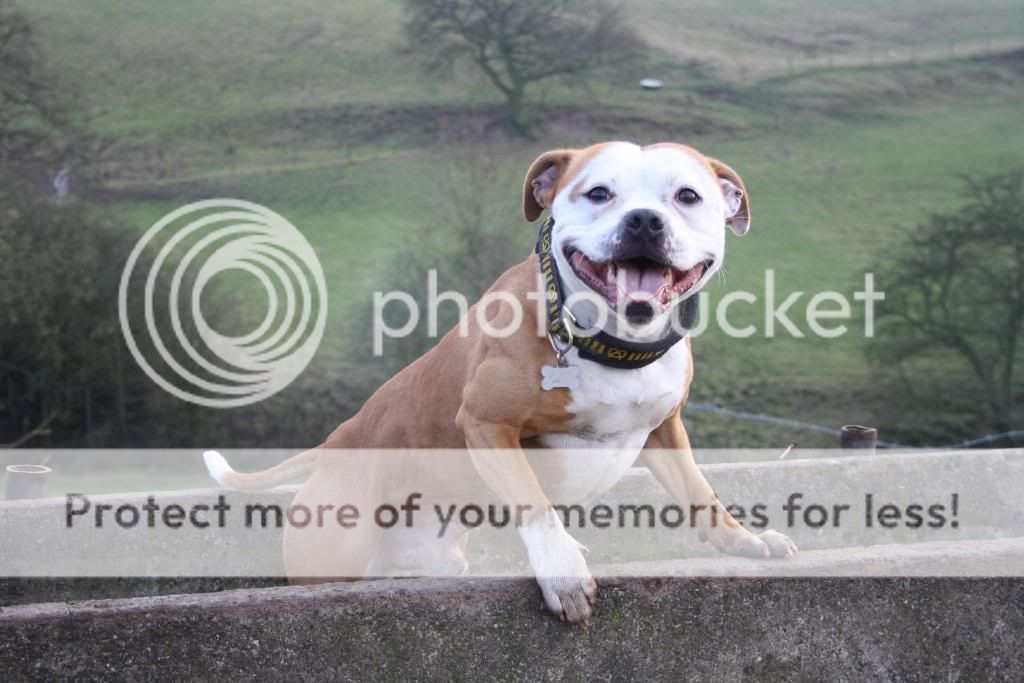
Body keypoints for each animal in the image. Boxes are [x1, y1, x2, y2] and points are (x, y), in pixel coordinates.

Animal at [205, 140, 798, 626]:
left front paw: (743, 540)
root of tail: (333, 444)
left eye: (687, 196)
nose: (645, 221)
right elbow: (534, 504)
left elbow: (700, 493)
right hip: (331, 554)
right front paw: (562, 569)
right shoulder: (488, 424)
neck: (607, 343)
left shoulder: (664, 428)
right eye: (599, 193)